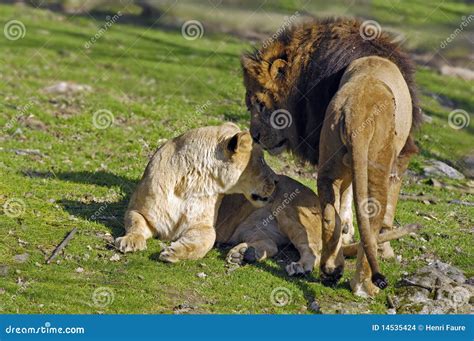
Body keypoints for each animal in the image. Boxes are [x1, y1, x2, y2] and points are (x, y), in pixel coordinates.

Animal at [115, 123, 276, 262]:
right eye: (261, 160)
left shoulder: (203, 225)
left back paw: (243, 254)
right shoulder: (138, 210)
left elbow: (204, 242)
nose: (276, 181)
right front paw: (131, 241)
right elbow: (135, 222)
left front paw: (173, 252)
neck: (193, 182)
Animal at [243, 17, 420, 294]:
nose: (255, 137)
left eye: (260, 104)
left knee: (331, 215)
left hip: (330, 166)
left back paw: (332, 268)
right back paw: (363, 284)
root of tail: (357, 109)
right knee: (370, 215)